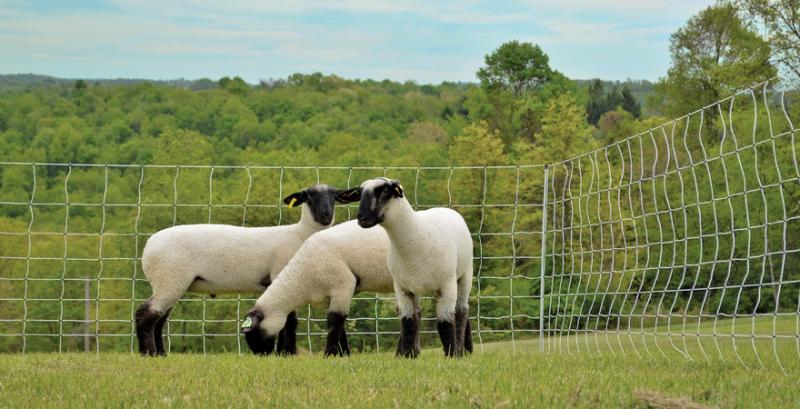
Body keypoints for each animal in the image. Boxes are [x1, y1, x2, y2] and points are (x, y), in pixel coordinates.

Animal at [138, 183, 344, 356]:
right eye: (309, 196)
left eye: (334, 196)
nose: (326, 215)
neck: (300, 235)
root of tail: (148, 246)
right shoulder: (283, 276)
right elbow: (290, 321)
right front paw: (288, 353)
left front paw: (283, 352)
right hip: (169, 279)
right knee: (146, 314)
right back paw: (148, 353)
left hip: (169, 282)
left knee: (159, 319)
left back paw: (160, 354)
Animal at [241, 218, 396, 356]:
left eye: (256, 333)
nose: (262, 355)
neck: (303, 276)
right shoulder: (330, 297)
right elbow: (341, 327)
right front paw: (344, 354)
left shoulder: (343, 285)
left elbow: (335, 320)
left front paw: (329, 354)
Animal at [340, 177, 476, 356]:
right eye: (359, 194)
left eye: (385, 191)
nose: (361, 218)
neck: (416, 238)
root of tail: (446, 209)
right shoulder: (402, 287)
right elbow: (408, 322)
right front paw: (407, 355)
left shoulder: (447, 285)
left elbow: (445, 323)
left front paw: (452, 355)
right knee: (420, 314)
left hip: (465, 274)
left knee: (461, 311)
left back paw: (460, 349)